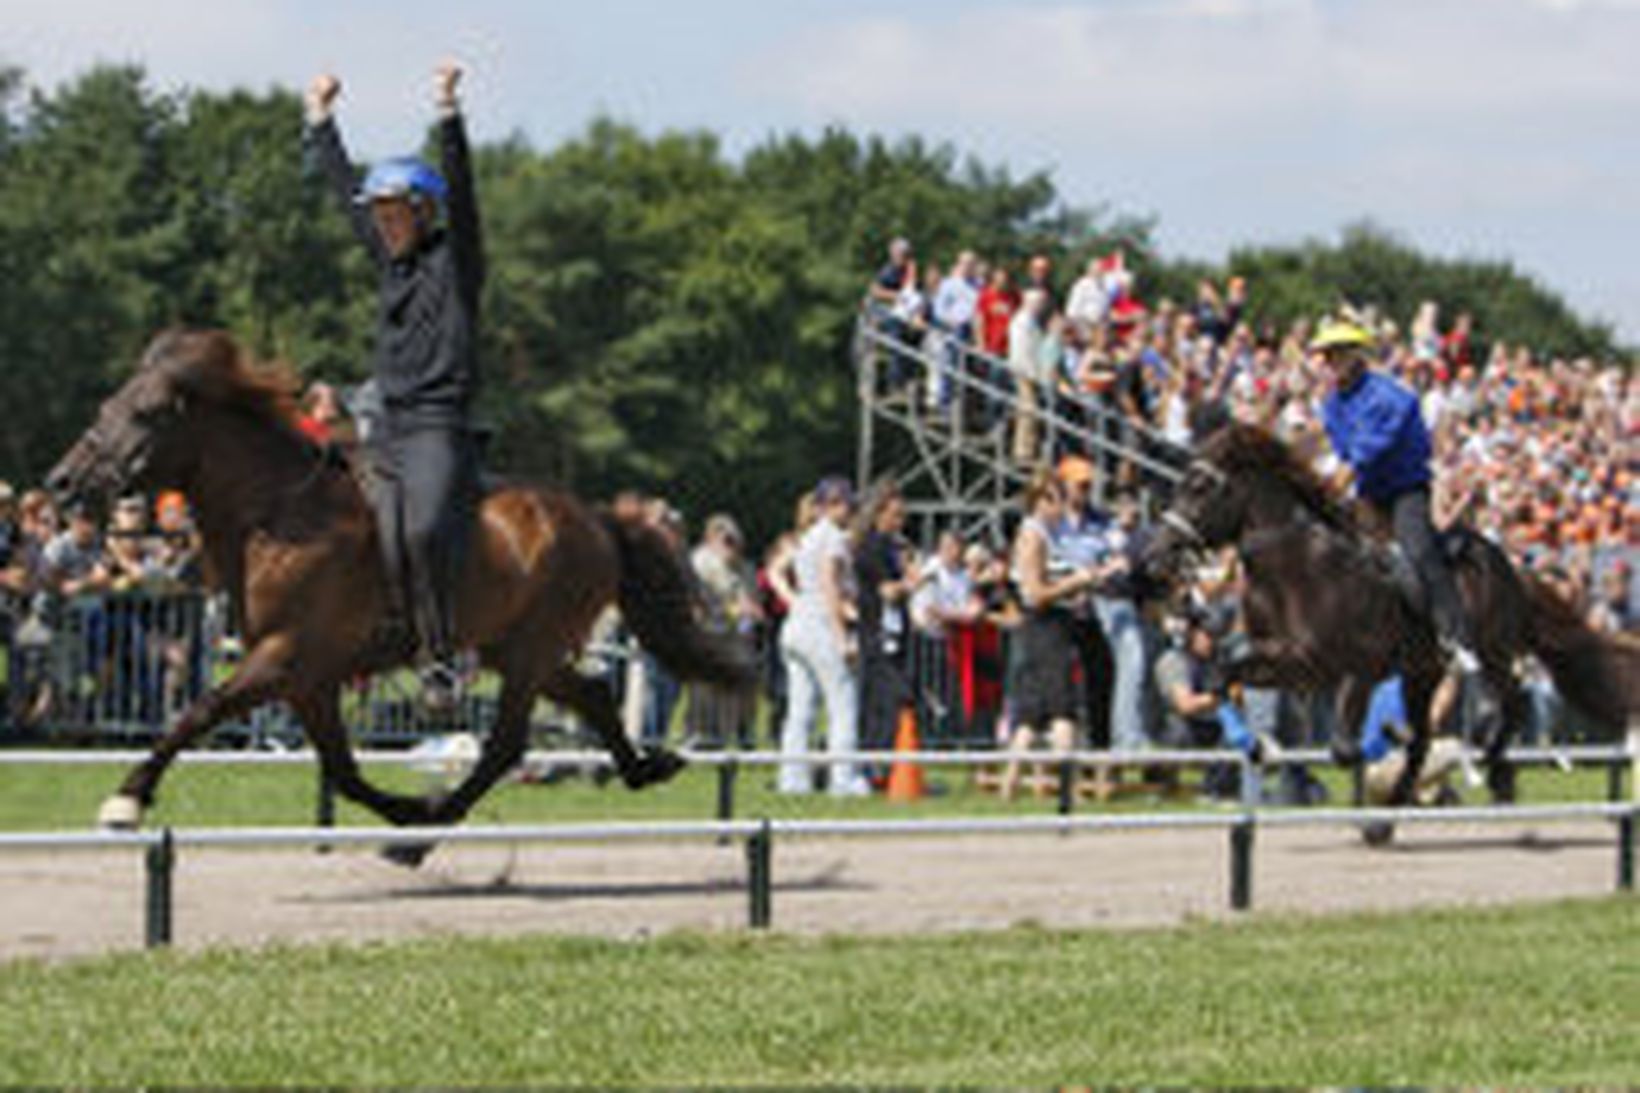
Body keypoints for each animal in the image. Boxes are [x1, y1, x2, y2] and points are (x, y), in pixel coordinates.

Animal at [44, 328, 751, 853]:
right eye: (105, 409)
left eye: (145, 415)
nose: (61, 484)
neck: (277, 515)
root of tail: (598, 518)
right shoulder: (308, 680)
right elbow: (344, 771)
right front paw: (404, 808)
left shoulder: (283, 659)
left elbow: (198, 711)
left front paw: (126, 799)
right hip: (516, 648)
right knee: (593, 696)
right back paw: (637, 768)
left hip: (529, 650)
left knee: (507, 744)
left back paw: (434, 825)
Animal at [1134, 420, 1633, 804]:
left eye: (1201, 487)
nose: (1155, 556)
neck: (1297, 569)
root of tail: (1511, 565)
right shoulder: (1289, 663)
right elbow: (1224, 673)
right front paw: (1256, 747)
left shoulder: (1357, 668)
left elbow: (1343, 748)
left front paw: (1374, 746)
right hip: (1423, 671)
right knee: (1430, 737)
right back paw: (1405, 792)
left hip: (1491, 652)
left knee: (1511, 703)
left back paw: (1491, 767)